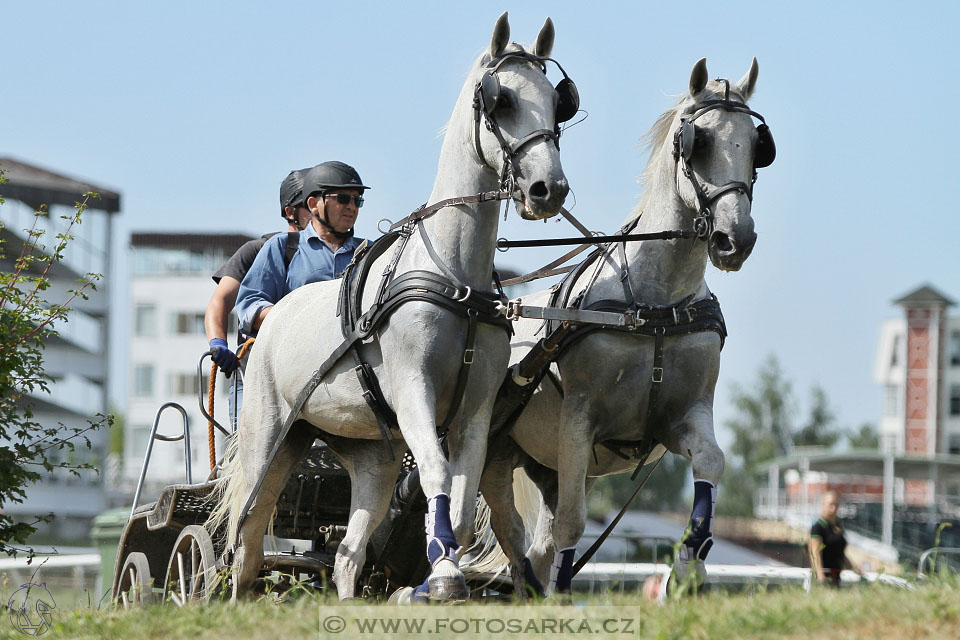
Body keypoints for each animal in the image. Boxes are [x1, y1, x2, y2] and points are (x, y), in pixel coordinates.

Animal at [211, 16, 572, 604]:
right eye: (501, 102)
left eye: (555, 101)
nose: (548, 188)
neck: (454, 279)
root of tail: (272, 323)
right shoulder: (413, 394)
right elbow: (435, 473)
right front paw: (444, 577)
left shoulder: (474, 413)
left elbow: (461, 501)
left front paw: (436, 573)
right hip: (270, 440)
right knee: (247, 532)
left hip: (371, 457)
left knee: (347, 551)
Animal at [478, 58, 772, 596]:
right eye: (696, 143)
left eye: (756, 147)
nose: (734, 239)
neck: (654, 306)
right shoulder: (578, 423)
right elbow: (573, 524)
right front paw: (563, 596)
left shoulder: (683, 416)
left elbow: (711, 462)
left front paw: (690, 566)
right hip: (497, 450)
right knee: (507, 525)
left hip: (545, 466)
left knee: (534, 544)